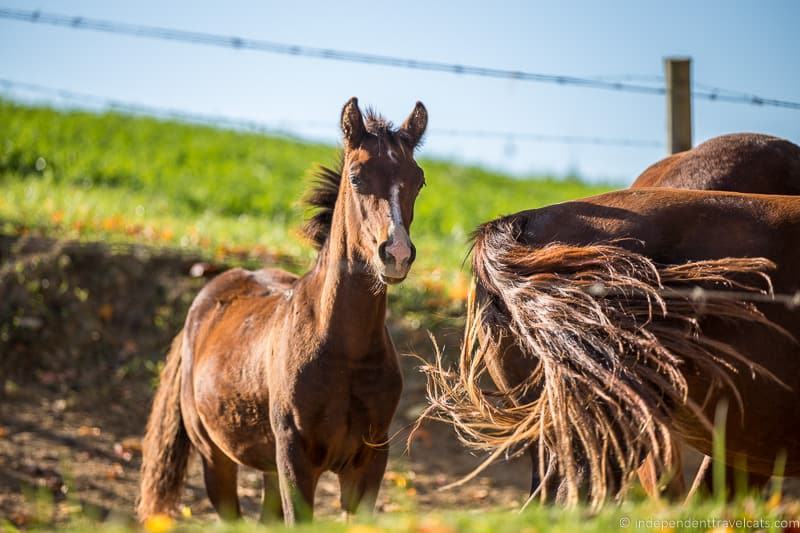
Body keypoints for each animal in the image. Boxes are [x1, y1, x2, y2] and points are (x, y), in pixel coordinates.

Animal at [138, 97, 428, 520]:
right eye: (357, 177)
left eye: (418, 180)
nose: (397, 254)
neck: (345, 351)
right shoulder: (295, 460)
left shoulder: (369, 462)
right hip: (216, 458)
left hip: (268, 468)